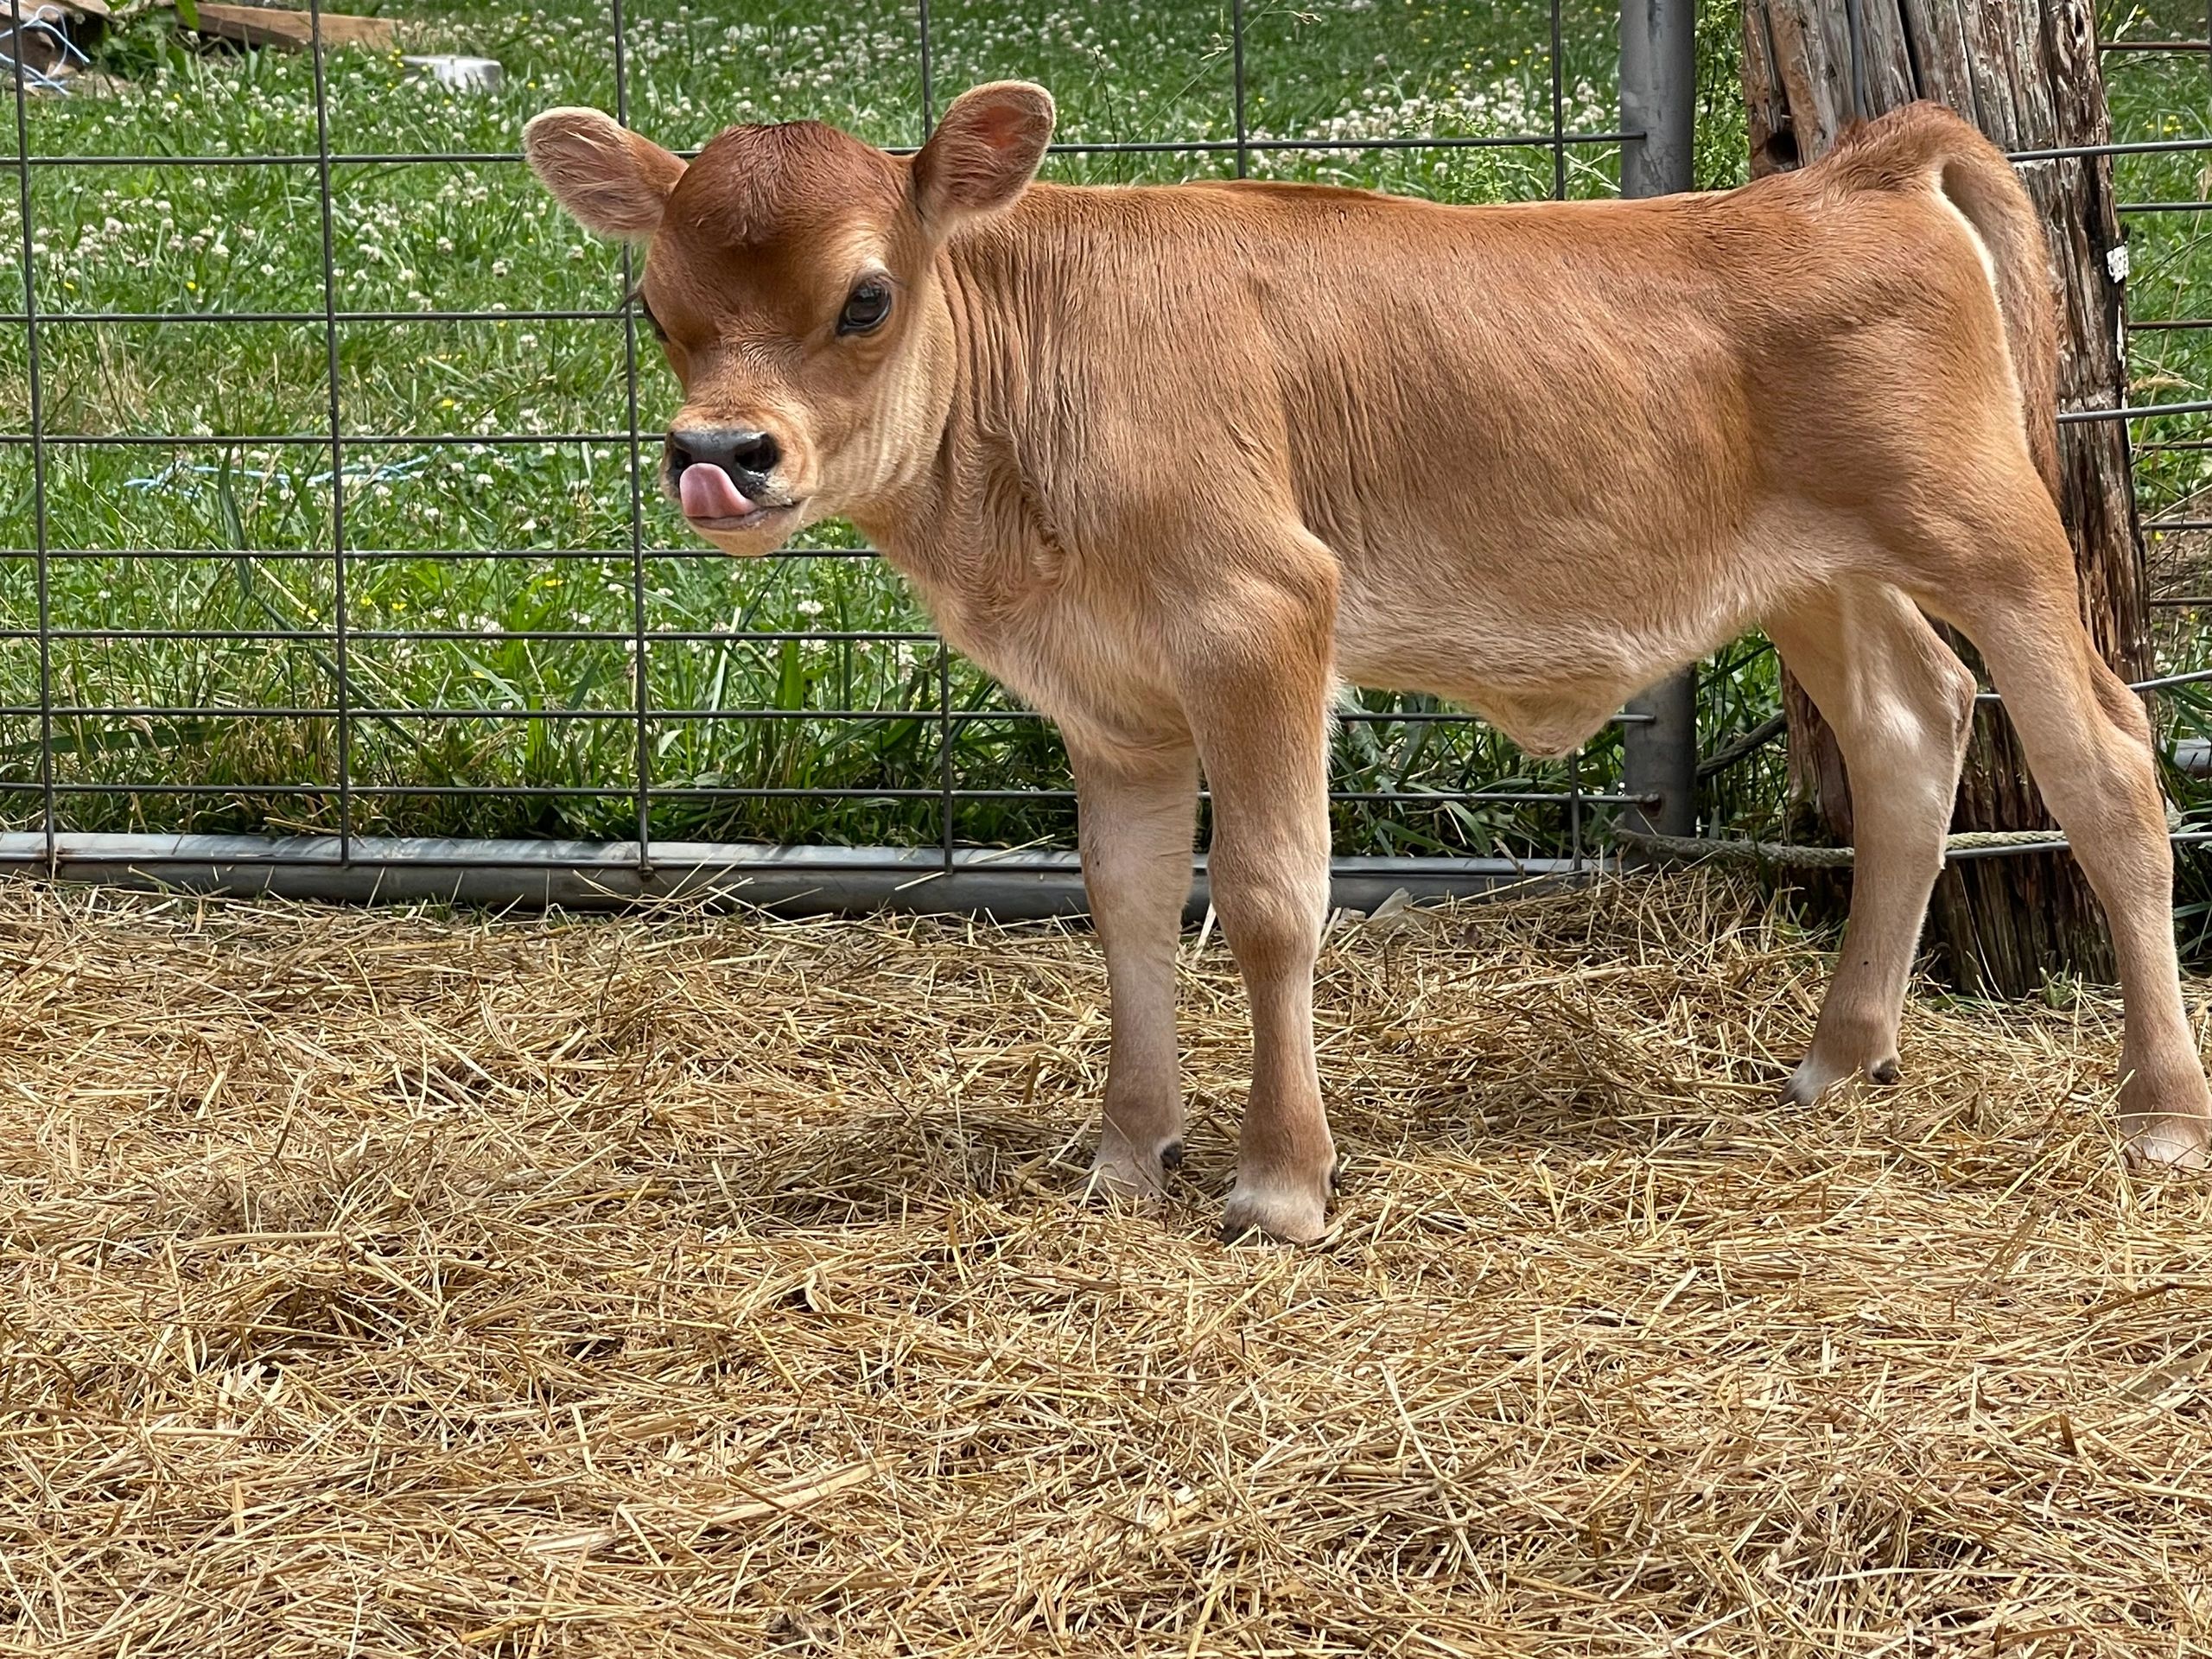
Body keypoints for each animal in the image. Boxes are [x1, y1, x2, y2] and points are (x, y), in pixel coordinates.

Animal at [523, 81, 2212, 1243]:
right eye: (658, 310)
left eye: (865, 297)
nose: (718, 457)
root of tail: (1857, 168)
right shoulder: (1111, 698)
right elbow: (1126, 910)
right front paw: (1127, 1154)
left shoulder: (1259, 617)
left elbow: (1272, 904)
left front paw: (1280, 1181)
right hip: (1815, 571)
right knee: (1910, 730)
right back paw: (1839, 1059)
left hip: (1989, 533)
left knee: (2107, 765)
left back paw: (2158, 1112)